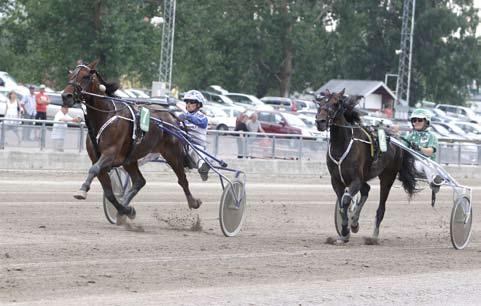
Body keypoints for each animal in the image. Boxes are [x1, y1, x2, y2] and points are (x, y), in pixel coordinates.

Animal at [61, 60, 201, 222]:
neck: (105, 115)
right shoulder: (98, 157)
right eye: (70, 75)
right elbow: (109, 193)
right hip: (130, 159)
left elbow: (94, 169)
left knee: (182, 179)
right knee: (139, 181)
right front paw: (126, 210)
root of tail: (171, 115)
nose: (65, 96)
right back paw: (126, 204)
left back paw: (193, 202)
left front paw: (82, 190)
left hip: (172, 152)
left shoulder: (110, 153)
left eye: (85, 77)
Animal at [316, 89, 416, 243]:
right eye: (320, 102)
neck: (342, 145)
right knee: (366, 190)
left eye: (335, 103)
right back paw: (354, 221)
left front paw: (345, 230)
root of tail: (397, 140)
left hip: (387, 177)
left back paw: (373, 236)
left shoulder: (356, 179)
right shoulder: (336, 181)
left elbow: (346, 200)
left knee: (381, 207)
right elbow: (342, 204)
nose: (320, 121)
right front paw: (346, 231)